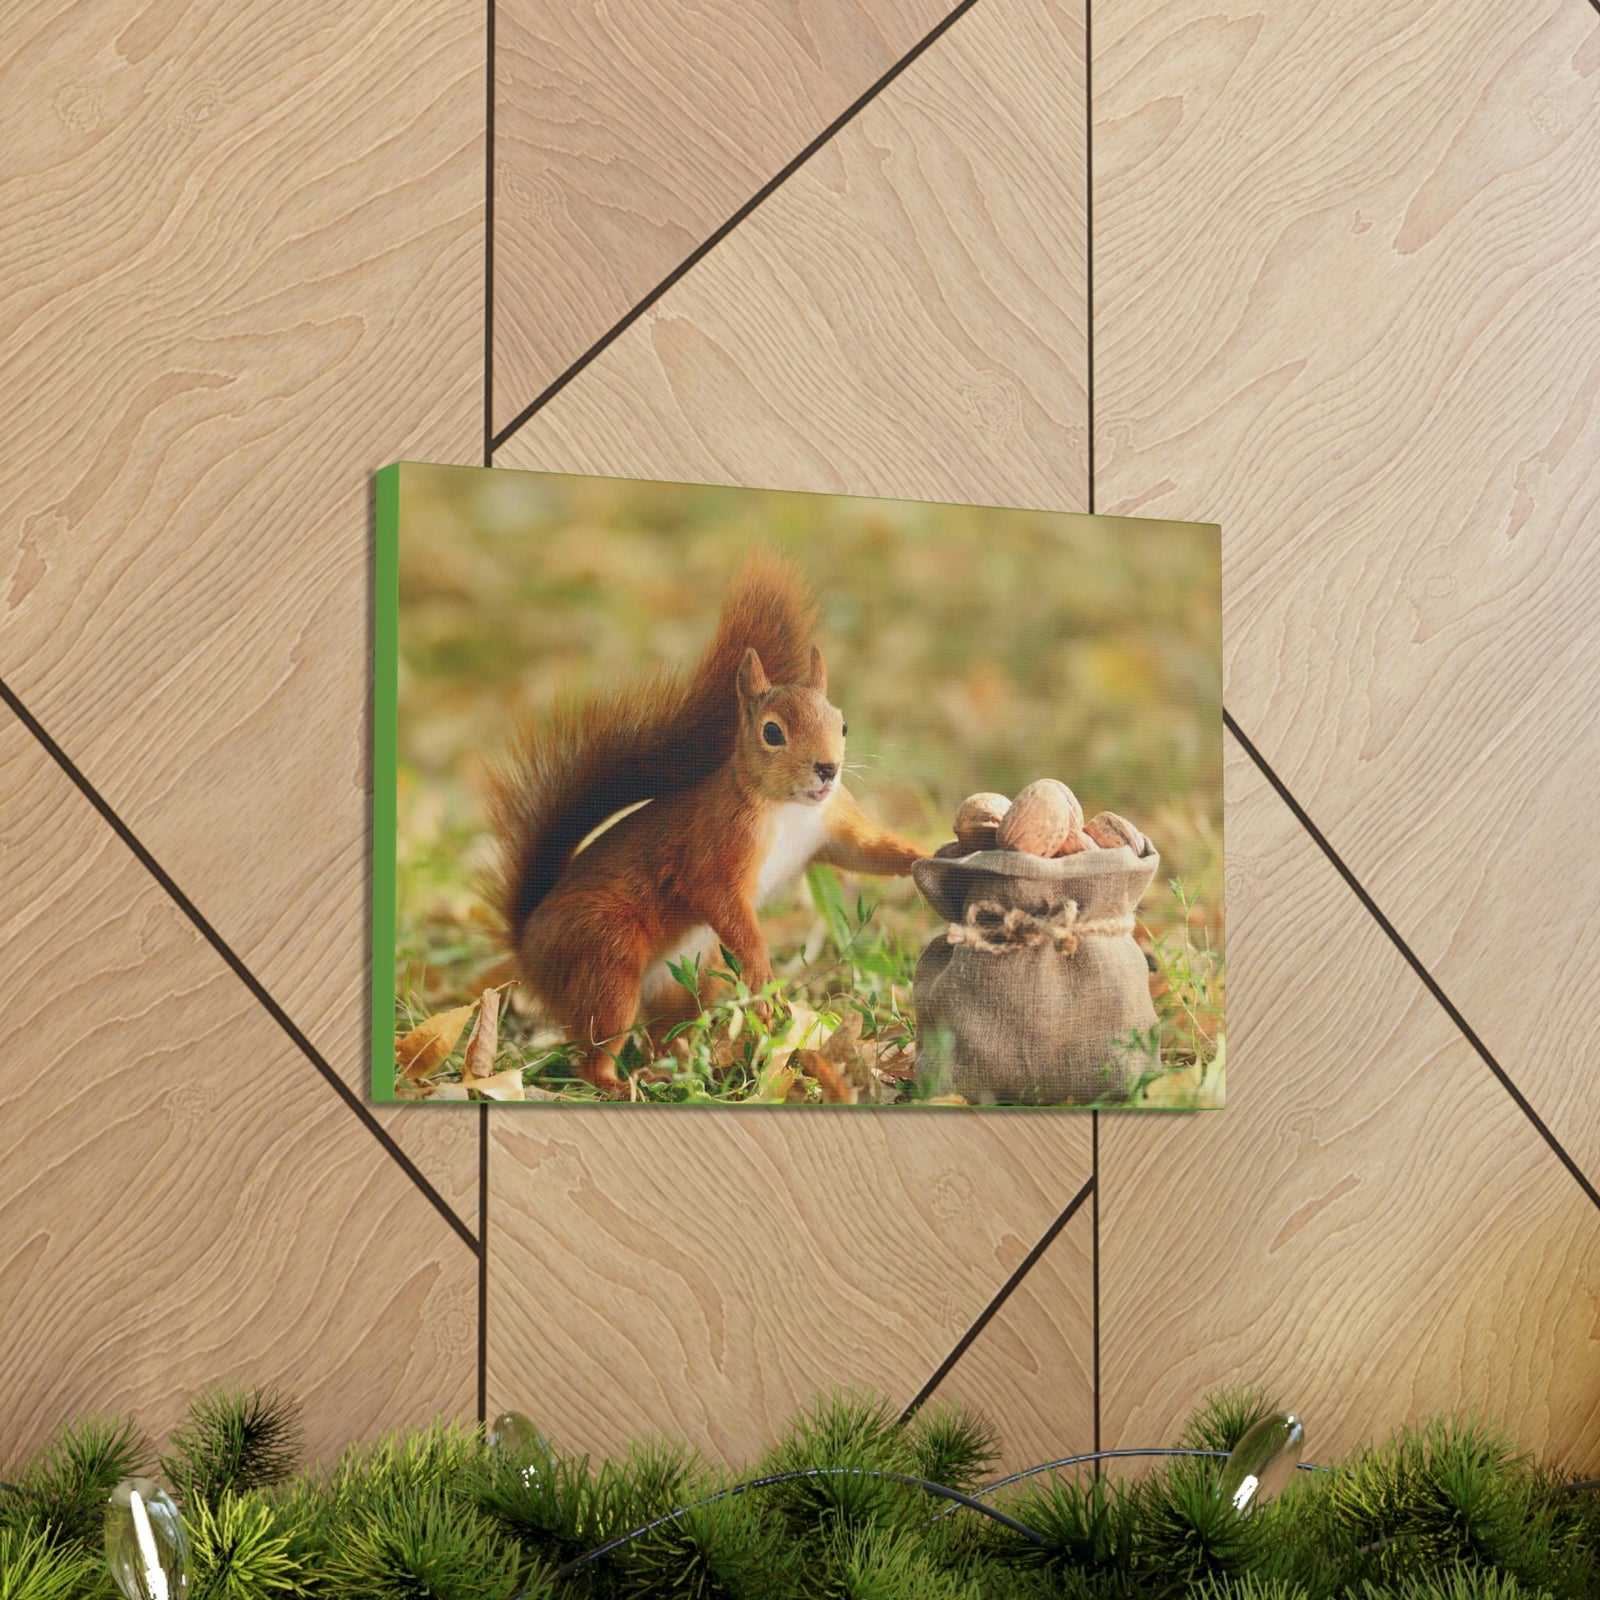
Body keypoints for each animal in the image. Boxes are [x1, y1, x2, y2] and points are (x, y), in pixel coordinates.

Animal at [486, 553, 928, 1097]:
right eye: (772, 733)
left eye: (842, 724)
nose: (828, 769)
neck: (789, 809)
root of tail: (527, 946)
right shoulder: (717, 844)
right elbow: (719, 898)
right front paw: (763, 981)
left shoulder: (832, 823)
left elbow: (869, 851)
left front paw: (931, 855)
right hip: (605, 956)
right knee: (593, 1047)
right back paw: (620, 1084)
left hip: (687, 979)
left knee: (663, 1033)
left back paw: (686, 1065)